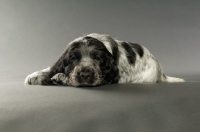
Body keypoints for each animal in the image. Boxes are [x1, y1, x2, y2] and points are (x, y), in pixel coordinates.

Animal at [23, 33, 184, 86]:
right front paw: (34, 76)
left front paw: (60, 77)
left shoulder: (110, 77)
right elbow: (51, 68)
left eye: (98, 58)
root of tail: (161, 72)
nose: (85, 75)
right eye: (74, 58)